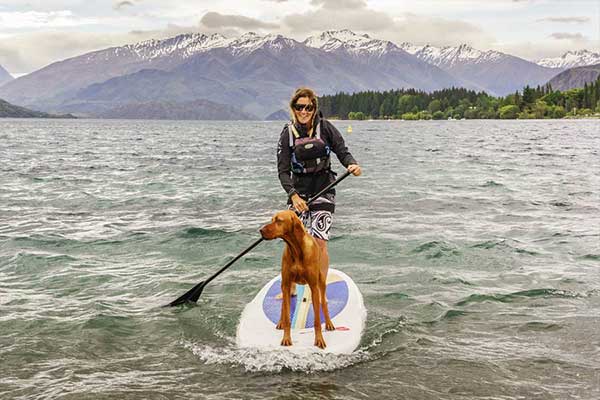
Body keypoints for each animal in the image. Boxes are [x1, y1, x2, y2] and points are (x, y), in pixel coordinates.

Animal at [258, 211, 336, 348]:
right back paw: (280, 321)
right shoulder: (286, 283)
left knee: (323, 303)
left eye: (279, 220)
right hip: (285, 285)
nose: (261, 230)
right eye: (272, 219)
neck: (296, 249)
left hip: (321, 283)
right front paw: (286, 338)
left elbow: (317, 320)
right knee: (284, 305)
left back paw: (328, 323)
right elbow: (287, 316)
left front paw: (319, 339)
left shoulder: (314, 287)